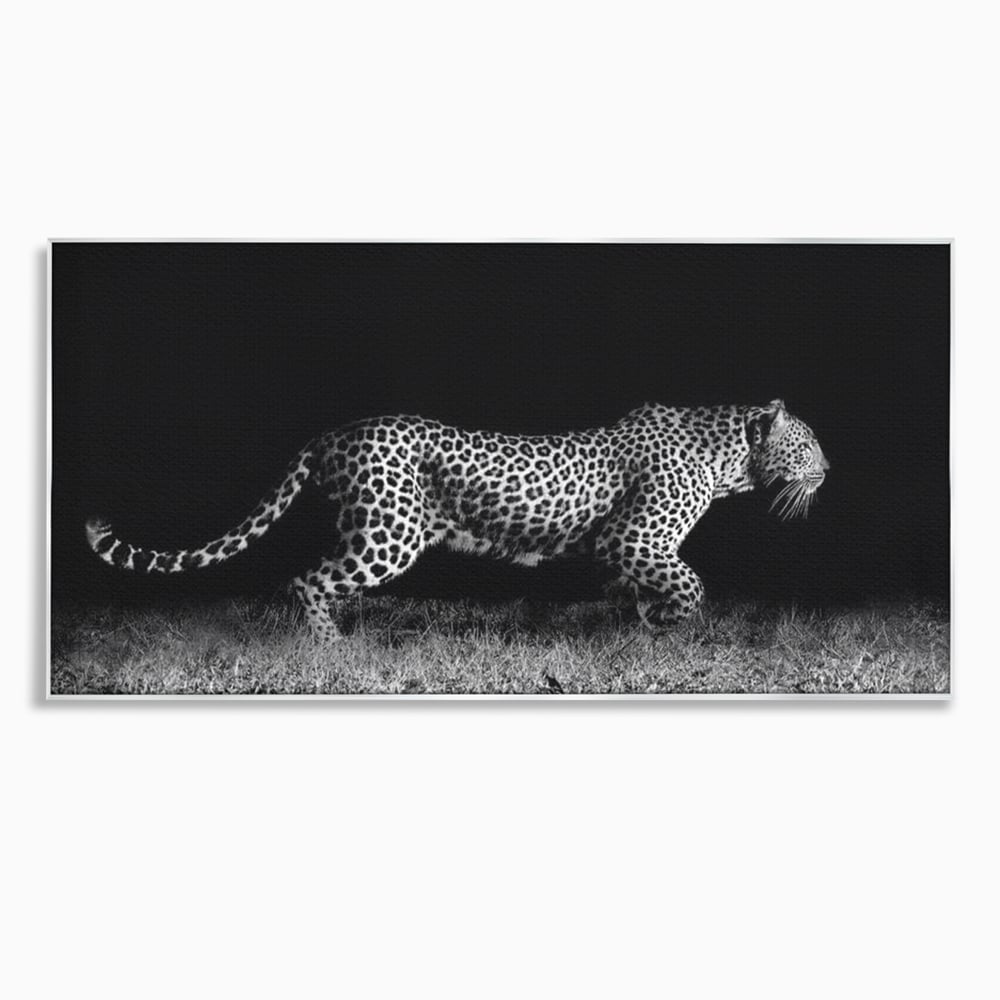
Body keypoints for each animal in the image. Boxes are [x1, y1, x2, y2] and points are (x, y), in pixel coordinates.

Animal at [86, 399, 829, 642]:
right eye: (811, 444)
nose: (831, 467)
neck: (729, 459)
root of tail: (333, 433)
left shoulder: (621, 550)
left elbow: (636, 590)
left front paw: (640, 627)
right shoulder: (634, 538)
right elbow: (690, 584)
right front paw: (670, 623)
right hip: (391, 532)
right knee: (307, 580)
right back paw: (333, 648)